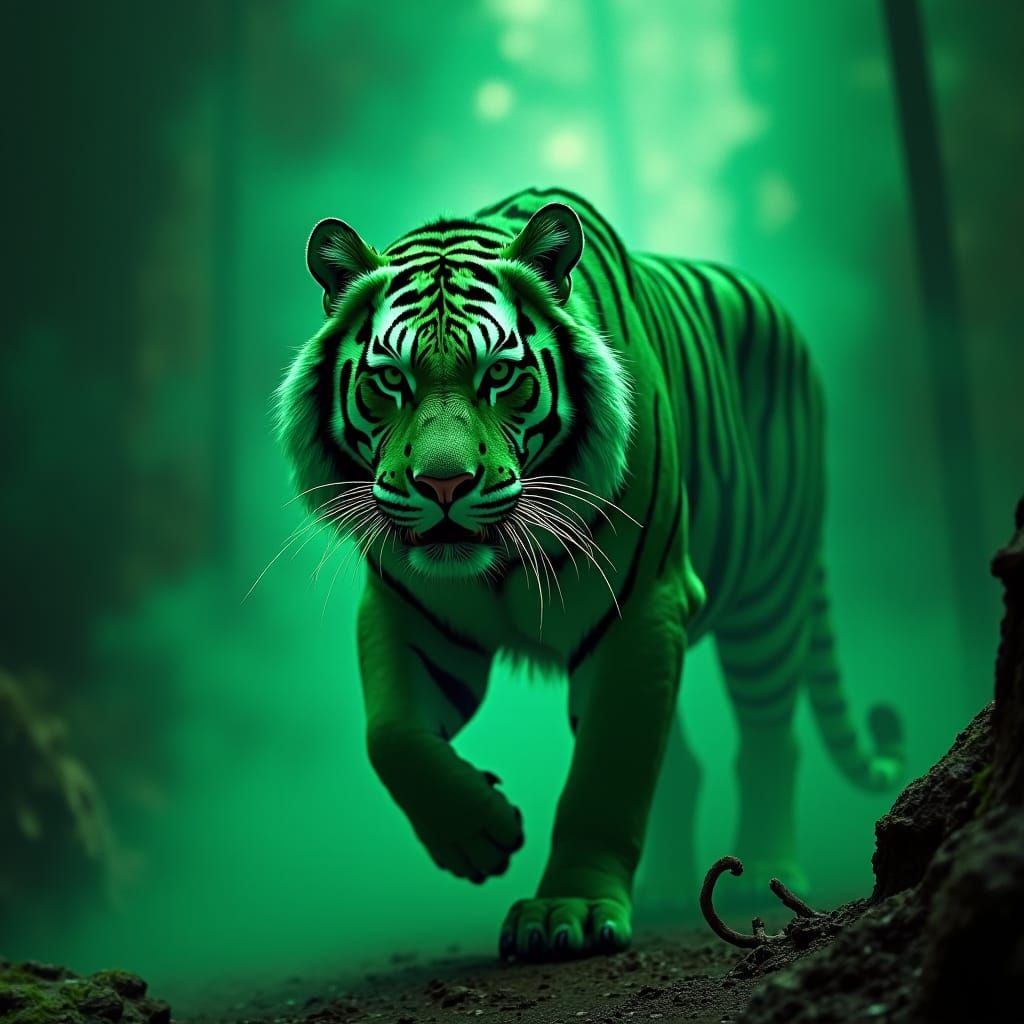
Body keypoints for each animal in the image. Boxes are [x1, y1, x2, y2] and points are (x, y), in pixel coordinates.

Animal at [275, 185, 905, 961]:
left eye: (500, 375)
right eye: (391, 379)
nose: (444, 484)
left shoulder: (642, 607)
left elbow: (607, 771)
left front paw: (564, 911)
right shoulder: (408, 612)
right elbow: (391, 736)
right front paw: (479, 831)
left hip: (769, 597)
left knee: (769, 739)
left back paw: (763, 870)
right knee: (686, 763)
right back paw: (668, 891)